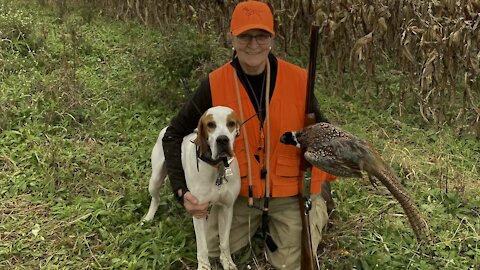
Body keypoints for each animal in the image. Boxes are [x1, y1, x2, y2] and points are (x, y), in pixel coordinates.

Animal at [142, 106, 240, 270]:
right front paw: (204, 267)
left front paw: (227, 262)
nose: (222, 140)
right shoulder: (198, 211)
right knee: (155, 198)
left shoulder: (227, 208)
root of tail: (166, 127)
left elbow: (224, 242)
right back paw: (148, 218)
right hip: (155, 180)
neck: (217, 167)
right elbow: (203, 247)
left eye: (231, 123)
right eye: (210, 124)